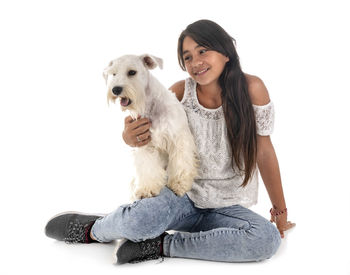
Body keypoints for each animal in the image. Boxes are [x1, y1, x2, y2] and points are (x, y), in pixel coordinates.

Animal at [102, 54, 198, 201]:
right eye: (114, 73)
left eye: (132, 72)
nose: (115, 89)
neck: (150, 105)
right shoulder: (145, 144)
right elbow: (147, 168)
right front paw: (147, 189)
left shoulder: (179, 139)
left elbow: (181, 163)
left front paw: (179, 185)